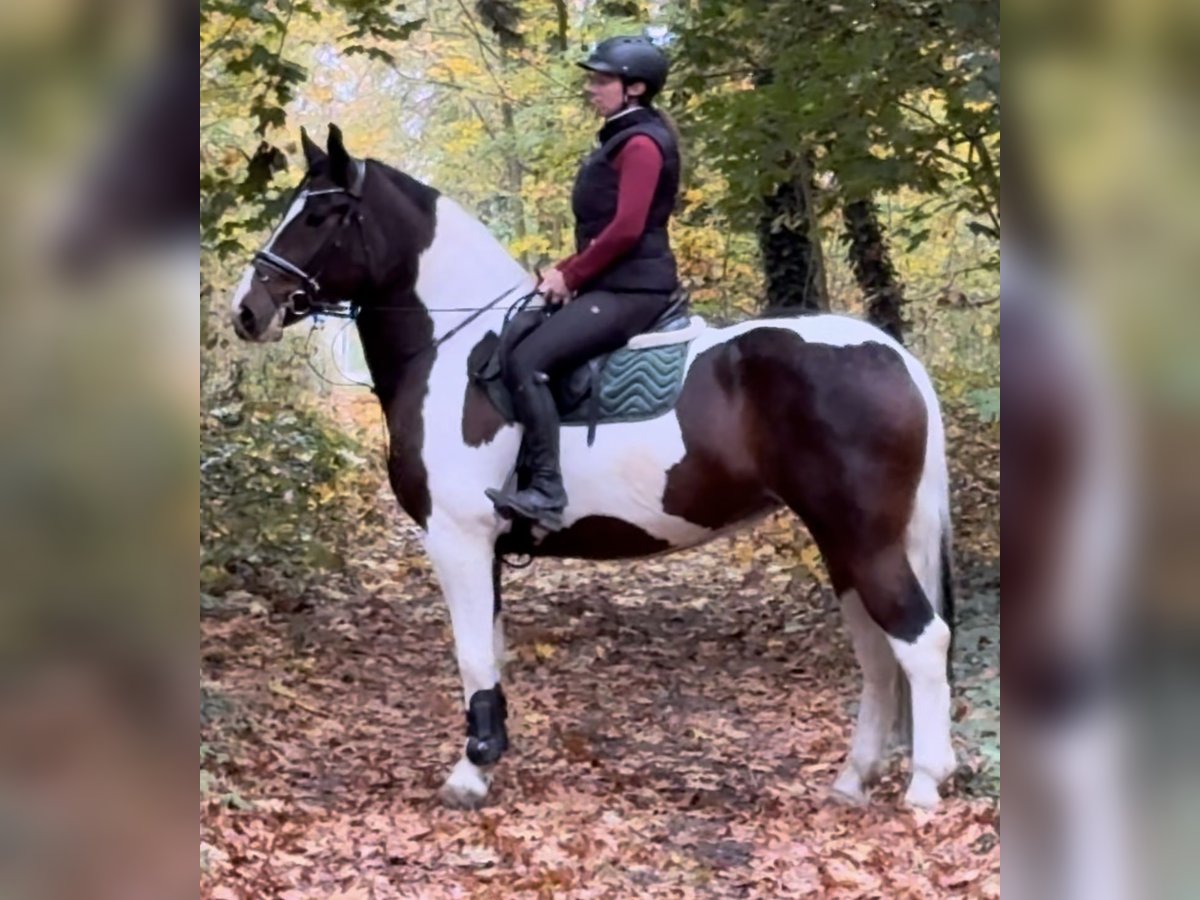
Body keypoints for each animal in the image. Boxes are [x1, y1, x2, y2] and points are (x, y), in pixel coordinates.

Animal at [229, 125, 960, 811]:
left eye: (321, 215)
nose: (247, 311)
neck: (454, 348)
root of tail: (894, 355)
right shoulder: (485, 547)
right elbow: (491, 652)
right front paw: (487, 760)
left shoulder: (457, 538)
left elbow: (471, 654)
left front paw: (469, 774)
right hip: (842, 541)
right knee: (876, 651)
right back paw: (854, 779)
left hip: (863, 539)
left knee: (921, 641)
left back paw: (924, 784)